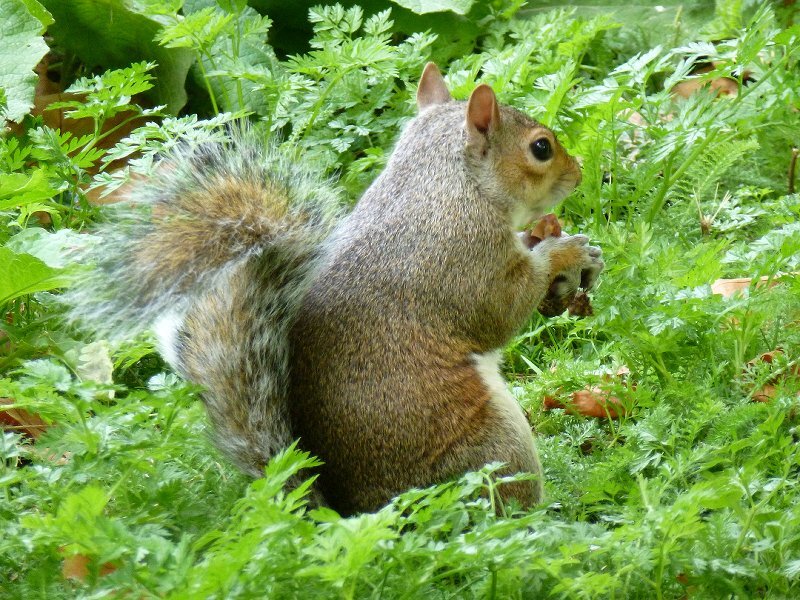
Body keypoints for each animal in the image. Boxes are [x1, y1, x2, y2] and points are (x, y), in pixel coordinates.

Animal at [66, 63, 603, 516]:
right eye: (541, 148)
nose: (579, 171)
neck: (445, 183)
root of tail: (357, 514)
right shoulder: (465, 257)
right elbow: (501, 311)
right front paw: (564, 253)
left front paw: (547, 238)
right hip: (496, 450)